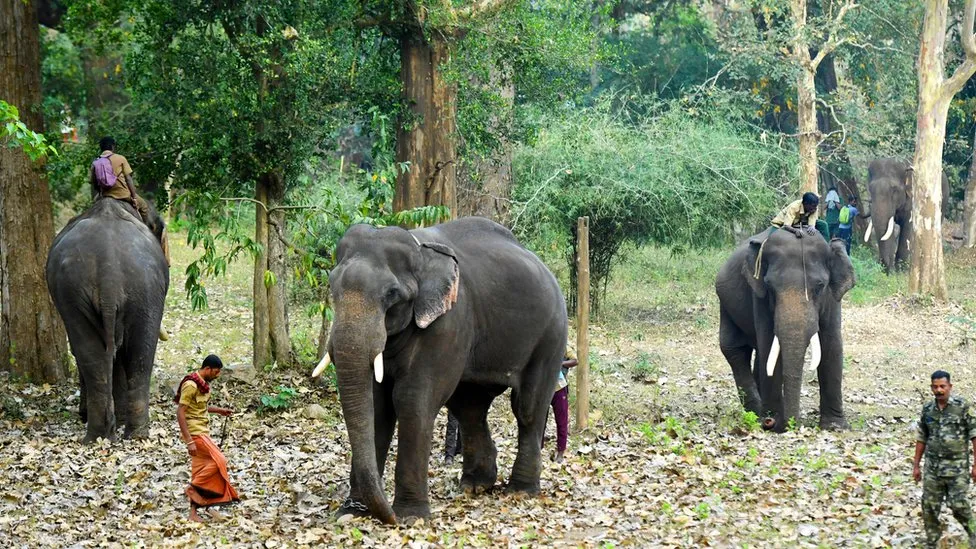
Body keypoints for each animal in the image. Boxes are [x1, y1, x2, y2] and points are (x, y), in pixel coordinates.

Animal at [45, 197, 169, 440]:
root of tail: (108, 270)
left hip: (82, 291)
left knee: (94, 352)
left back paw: (104, 434)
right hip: (142, 287)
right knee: (138, 353)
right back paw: (131, 434)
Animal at [312, 216, 568, 524]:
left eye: (392, 294)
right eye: (331, 286)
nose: (387, 517)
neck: (419, 248)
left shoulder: (448, 322)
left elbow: (413, 400)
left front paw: (411, 517)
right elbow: (377, 405)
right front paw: (351, 512)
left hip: (551, 335)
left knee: (527, 408)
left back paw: (520, 491)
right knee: (470, 407)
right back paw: (475, 486)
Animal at [716, 227, 856, 432]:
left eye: (820, 286)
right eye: (770, 287)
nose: (791, 424)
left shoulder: (832, 299)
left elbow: (832, 345)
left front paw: (835, 427)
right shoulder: (759, 297)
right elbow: (768, 343)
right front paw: (775, 425)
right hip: (725, 305)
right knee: (735, 350)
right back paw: (756, 414)